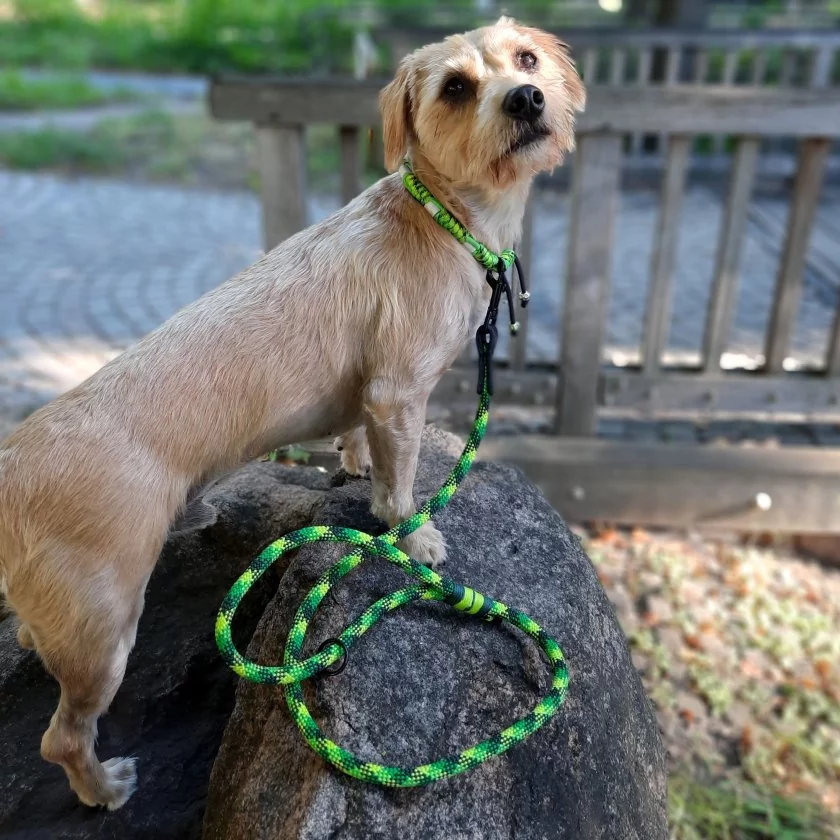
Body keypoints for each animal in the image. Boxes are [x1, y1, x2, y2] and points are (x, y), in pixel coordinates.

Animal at [0, 18, 584, 808]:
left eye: (526, 60)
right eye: (456, 88)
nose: (525, 98)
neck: (442, 218)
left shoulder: (368, 394)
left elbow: (360, 441)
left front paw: (354, 464)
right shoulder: (399, 388)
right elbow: (401, 490)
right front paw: (416, 536)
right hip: (104, 626)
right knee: (61, 736)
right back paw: (104, 788)